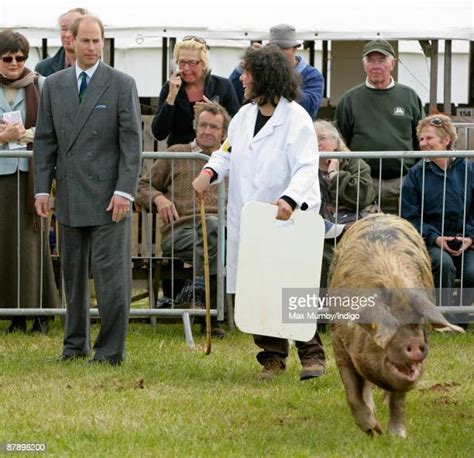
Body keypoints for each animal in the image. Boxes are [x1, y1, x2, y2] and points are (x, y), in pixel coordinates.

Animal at [328, 214, 464, 436]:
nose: (415, 344)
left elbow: (398, 399)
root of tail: (381, 213)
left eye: (417, 323)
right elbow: (352, 393)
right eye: (385, 327)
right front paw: (374, 430)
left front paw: (396, 436)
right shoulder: (339, 345)